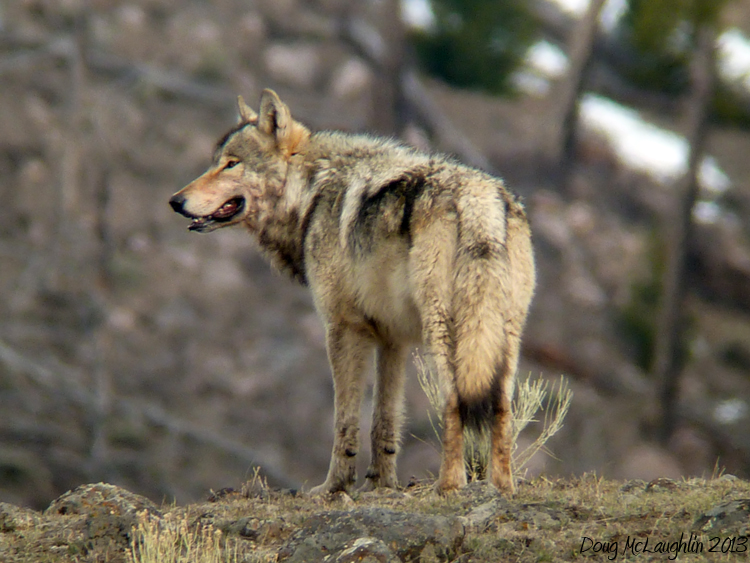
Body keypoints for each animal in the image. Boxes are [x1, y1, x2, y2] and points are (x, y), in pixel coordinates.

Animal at [169, 89, 536, 494]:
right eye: (214, 163)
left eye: (231, 164)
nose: (175, 201)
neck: (309, 194)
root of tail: (478, 196)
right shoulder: (393, 340)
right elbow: (384, 422)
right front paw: (381, 485)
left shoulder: (342, 328)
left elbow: (344, 420)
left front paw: (334, 488)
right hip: (502, 334)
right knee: (502, 404)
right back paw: (502, 487)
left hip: (443, 327)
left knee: (455, 399)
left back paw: (449, 486)